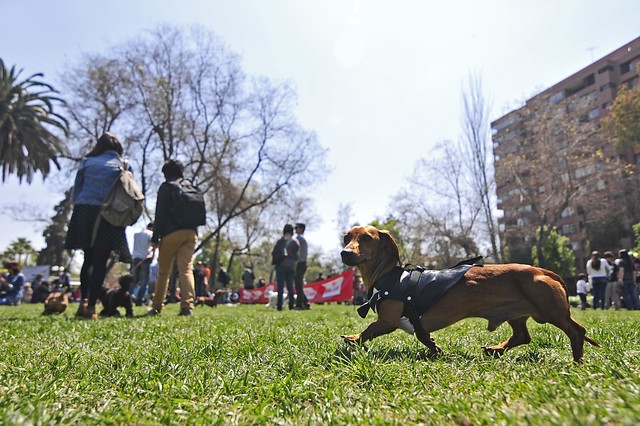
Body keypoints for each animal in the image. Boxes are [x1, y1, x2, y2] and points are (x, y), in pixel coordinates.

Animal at [342, 226, 596, 362]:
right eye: (346, 237)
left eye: (367, 238)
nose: (345, 253)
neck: (388, 275)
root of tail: (541, 271)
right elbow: (424, 336)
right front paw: (434, 347)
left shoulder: (388, 320)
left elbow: (369, 330)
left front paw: (354, 337)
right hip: (515, 314)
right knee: (522, 336)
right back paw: (496, 349)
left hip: (552, 311)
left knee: (576, 331)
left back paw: (576, 360)